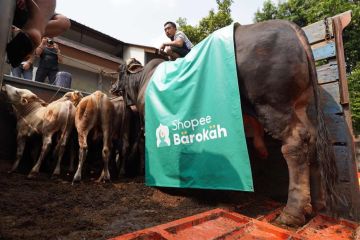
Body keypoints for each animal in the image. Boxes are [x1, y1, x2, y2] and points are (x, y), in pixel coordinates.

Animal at [111, 20, 338, 227]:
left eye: (119, 72)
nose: (112, 87)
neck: (141, 82)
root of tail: (290, 26)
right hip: (299, 105)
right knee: (312, 141)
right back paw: (313, 205)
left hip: (273, 104)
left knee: (295, 144)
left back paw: (292, 213)